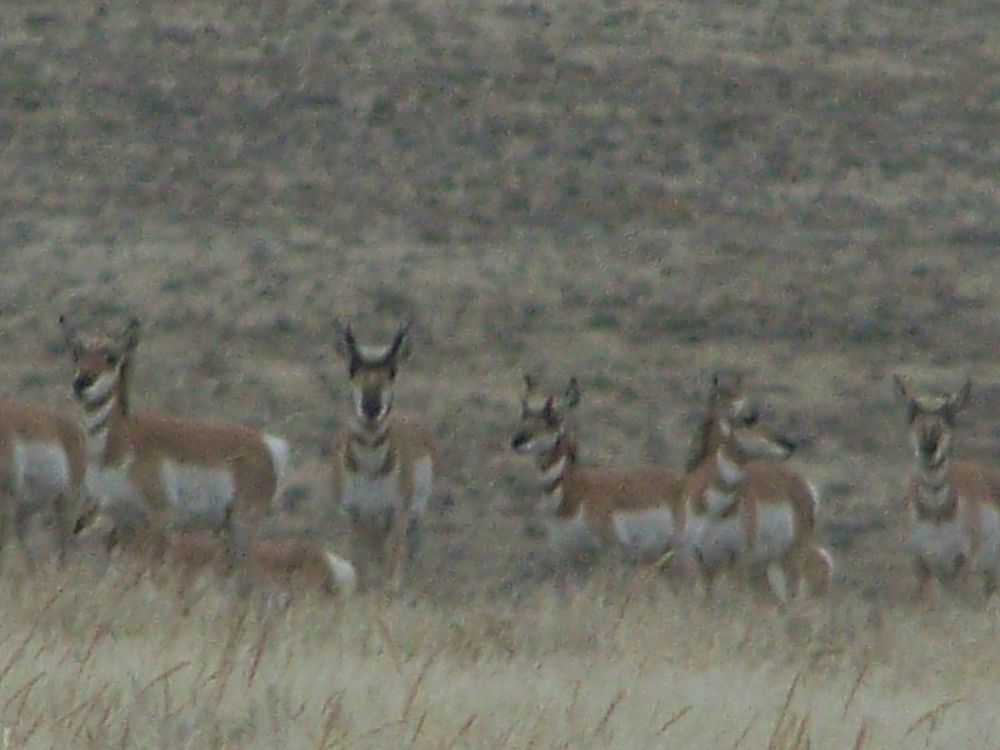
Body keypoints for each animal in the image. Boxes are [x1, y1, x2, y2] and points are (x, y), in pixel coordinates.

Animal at [59, 315, 291, 568]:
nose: (82, 382)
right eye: (76, 353)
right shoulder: (123, 519)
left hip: (242, 524)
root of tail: (266, 444)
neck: (121, 440)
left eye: (111, 356)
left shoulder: (160, 516)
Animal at [329, 321, 437, 593]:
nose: (371, 407)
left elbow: (391, 571)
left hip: (413, 519)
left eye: (392, 372)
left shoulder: (397, 515)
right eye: (352, 369)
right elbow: (361, 572)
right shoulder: (355, 515)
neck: (370, 468)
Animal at [510, 375, 686, 572]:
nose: (517, 441)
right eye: (525, 412)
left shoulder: (609, 549)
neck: (575, 491)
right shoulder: (568, 556)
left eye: (553, 417)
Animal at [682, 373, 833, 602]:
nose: (789, 445)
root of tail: (802, 484)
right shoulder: (700, 562)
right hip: (769, 564)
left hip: (792, 555)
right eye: (749, 417)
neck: (715, 509)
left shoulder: (739, 560)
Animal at [894, 375, 1000, 602]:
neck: (936, 514)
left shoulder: (961, 567)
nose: (928, 449)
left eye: (949, 418)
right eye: (913, 415)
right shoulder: (922, 567)